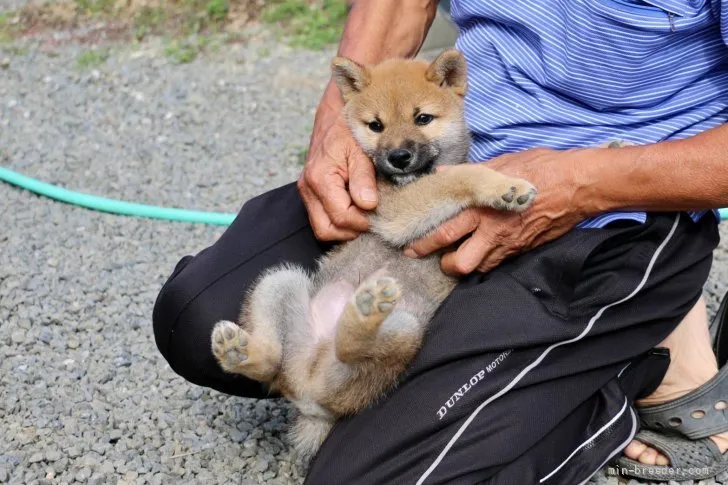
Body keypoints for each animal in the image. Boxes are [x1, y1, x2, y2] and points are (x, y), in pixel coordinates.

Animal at [208, 49, 536, 458]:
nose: (398, 157)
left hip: (399, 330)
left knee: (320, 356)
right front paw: (506, 185)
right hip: (284, 284)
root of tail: (312, 400)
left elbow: (453, 175)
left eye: (422, 118)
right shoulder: (395, 210)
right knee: (287, 359)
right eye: (376, 125)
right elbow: (457, 176)